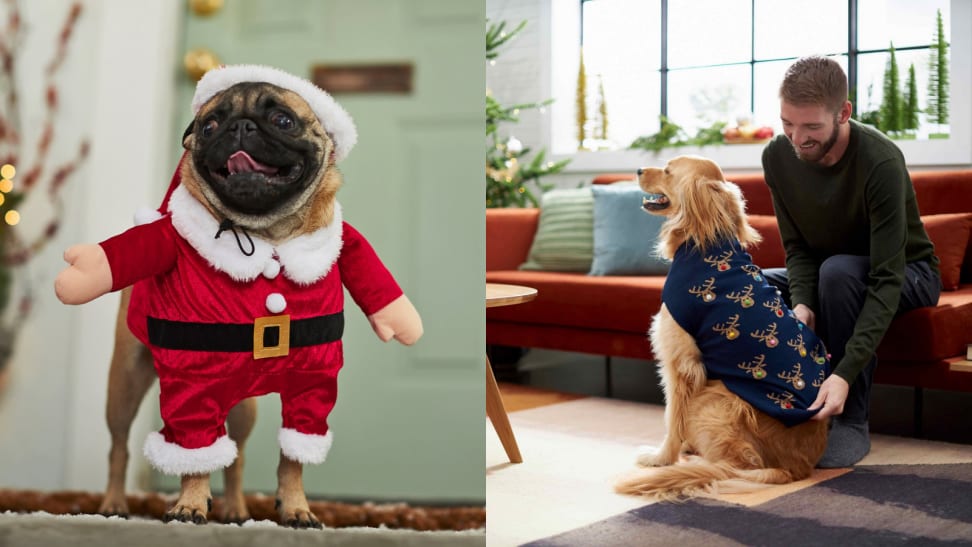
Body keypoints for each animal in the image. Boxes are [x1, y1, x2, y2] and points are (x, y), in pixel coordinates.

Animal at [54, 63, 422, 528]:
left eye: (282, 120)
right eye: (209, 126)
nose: (240, 127)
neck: (266, 233)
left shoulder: (311, 384)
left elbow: (293, 456)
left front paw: (296, 507)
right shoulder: (193, 382)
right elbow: (193, 454)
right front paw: (189, 504)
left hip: (244, 409)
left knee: (237, 456)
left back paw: (235, 508)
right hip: (124, 383)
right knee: (120, 447)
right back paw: (114, 504)